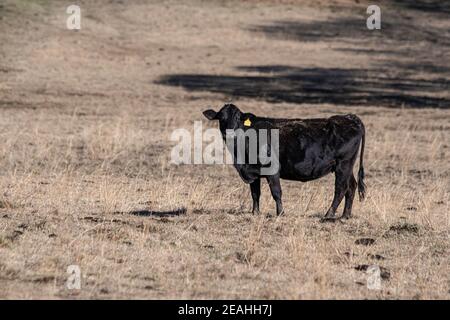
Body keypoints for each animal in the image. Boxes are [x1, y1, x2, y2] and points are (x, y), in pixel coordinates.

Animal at [204, 104, 366, 220]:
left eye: (238, 117)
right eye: (221, 117)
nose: (229, 133)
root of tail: (349, 117)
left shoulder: (272, 169)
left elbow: (276, 192)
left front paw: (280, 213)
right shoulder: (254, 172)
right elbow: (255, 193)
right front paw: (255, 213)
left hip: (343, 165)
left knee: (341, 188)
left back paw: (329, 214)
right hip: (347, 166)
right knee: (351, 187)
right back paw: (345, 216)